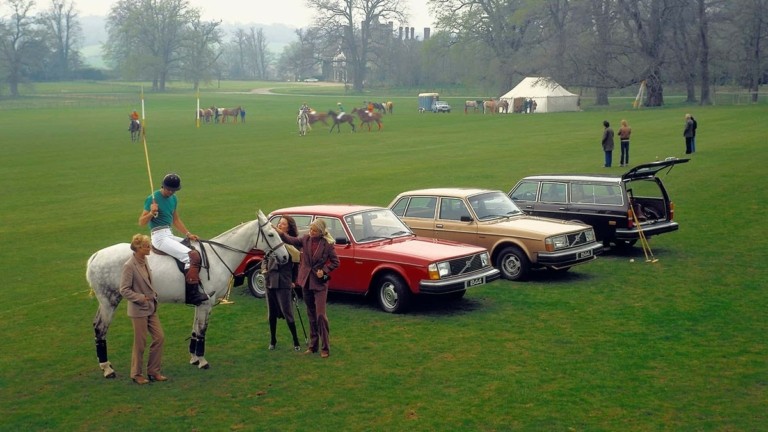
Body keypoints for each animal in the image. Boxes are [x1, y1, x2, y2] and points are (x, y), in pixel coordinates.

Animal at [85, 210, 288, 378]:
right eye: (271, 234)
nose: (285, 257)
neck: (218, 257)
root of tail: (95, 256)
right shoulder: (207, 303)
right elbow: (202, 330)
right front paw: (203, 361)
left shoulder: (200, 303)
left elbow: (195, 330)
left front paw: (194, 358)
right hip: (109, 300)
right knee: (100, 328)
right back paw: (107, 368)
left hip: (106, 300)